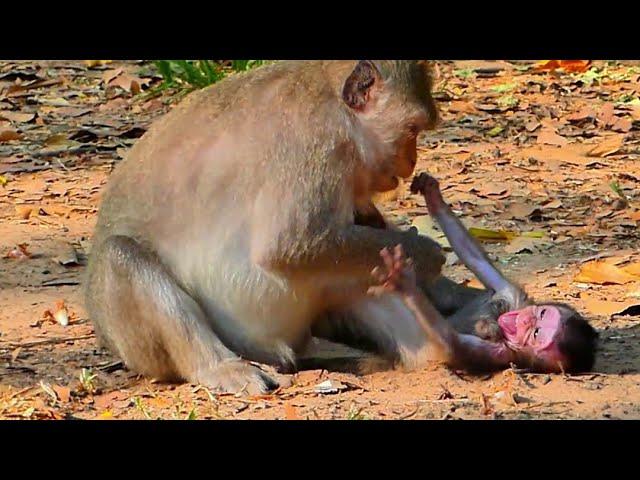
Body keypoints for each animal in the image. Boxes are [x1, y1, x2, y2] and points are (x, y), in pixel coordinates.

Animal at [85, 60, 448, 394]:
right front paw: (430, 255)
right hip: (143, 343)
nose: (412, 161)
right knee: (120, 254)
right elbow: (292, 246)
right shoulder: (314, 143)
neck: (339, 109)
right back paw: (219, 367)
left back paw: (439, 348)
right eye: (412, 130)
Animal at [368, 173, 596, 376]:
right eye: (541, 314)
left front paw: (403, 282)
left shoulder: (504, 354)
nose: (527, 319)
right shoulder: (512, 294)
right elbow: (477, 260)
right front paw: (433, 196)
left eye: (536, 333)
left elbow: (452, 345)